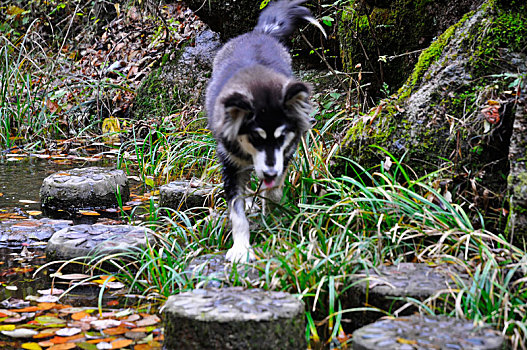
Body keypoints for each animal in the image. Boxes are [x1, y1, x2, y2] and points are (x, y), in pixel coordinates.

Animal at [207, 0, 326, 262]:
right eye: (254, 137)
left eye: (281, 137)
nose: (270, 172)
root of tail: (260, 33)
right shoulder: (230, 164)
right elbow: (237, 212)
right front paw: (241, 249)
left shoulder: (285, 154)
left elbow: (274, 192)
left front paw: (273, 218)